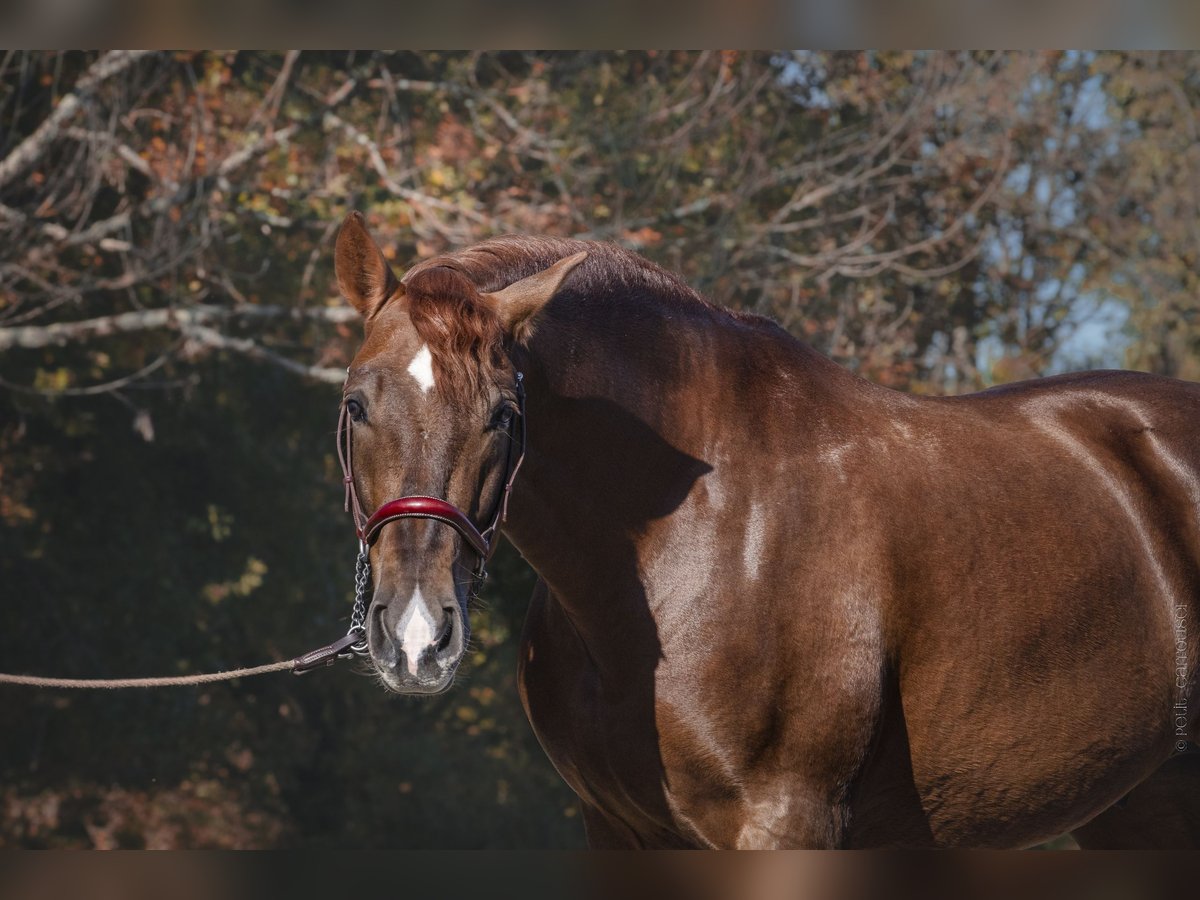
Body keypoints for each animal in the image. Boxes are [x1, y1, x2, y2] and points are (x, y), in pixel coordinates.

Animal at [331, 207, 1200, 849]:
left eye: (506, 417)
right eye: (356, 403)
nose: (417, 636)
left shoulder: (786, 824)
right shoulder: (621, 832)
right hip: (1141, 808)